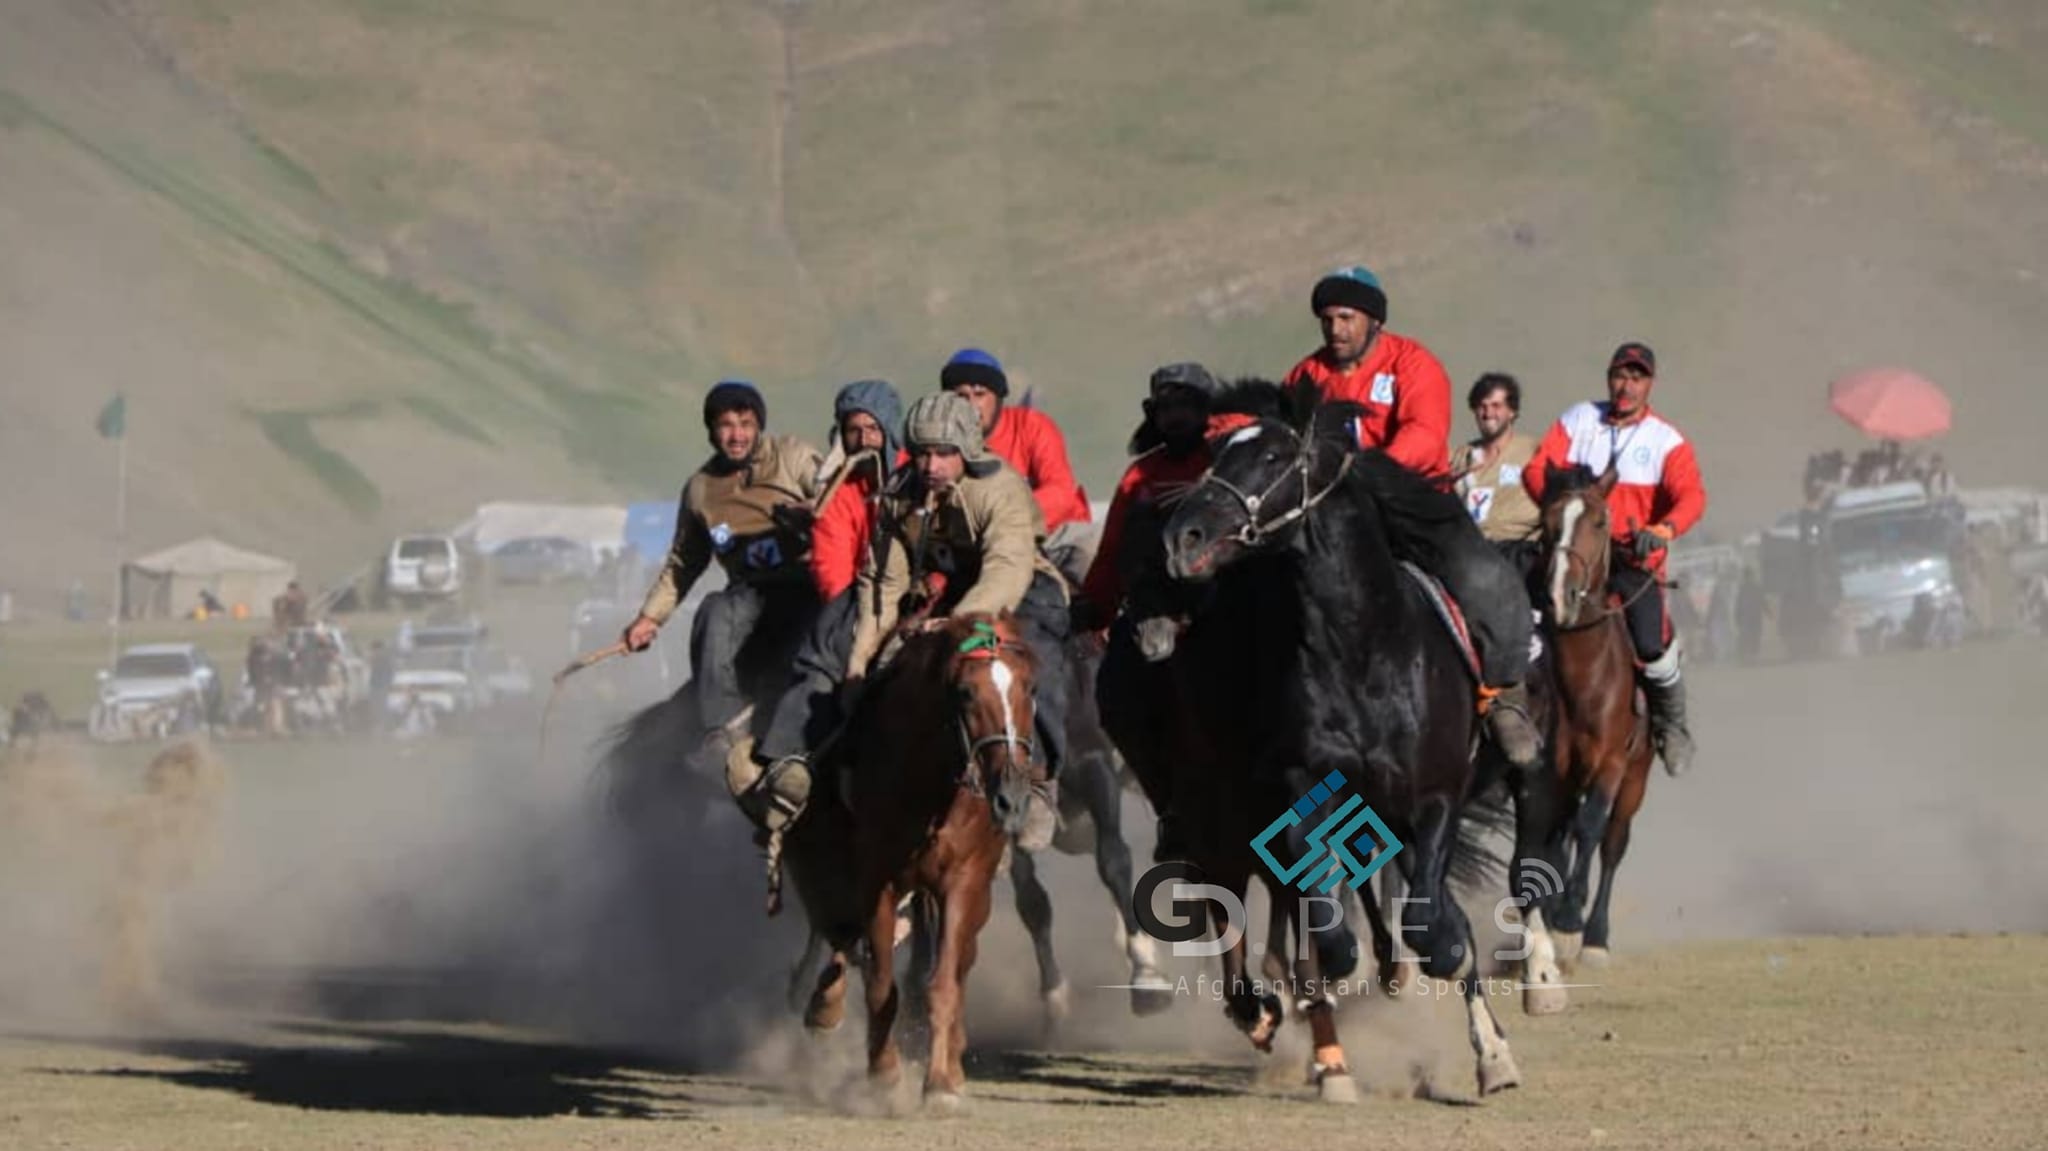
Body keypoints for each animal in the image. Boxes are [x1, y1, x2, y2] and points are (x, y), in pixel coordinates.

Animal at [1155, 382, 1523, 1089]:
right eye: (1218, 451)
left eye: (1273, 457)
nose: (1183, 535)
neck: (1364, 651)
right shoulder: (1307, 789)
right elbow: (1322, 915)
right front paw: (1334, 966)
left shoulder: (1434, 800)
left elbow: (1438, 928)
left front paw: (1454, 982)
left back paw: (1491, 1052)